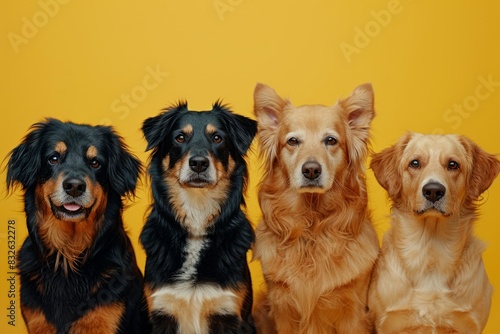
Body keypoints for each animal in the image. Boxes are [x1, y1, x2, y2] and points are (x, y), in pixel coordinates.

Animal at [254, 82, 378, 332]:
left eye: (331, 140)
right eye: (293, 141)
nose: (311, 169)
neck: (312, 225)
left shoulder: (354, 312)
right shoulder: (283, 309)